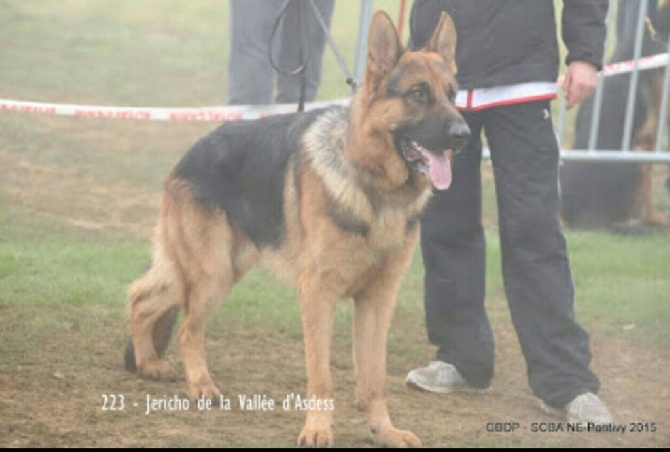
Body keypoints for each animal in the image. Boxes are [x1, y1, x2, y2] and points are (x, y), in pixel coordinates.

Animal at [123, 11, 470, 448]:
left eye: (453, 94)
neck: (374, 189)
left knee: (140, 297)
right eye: (419, 94)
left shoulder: (377, 300)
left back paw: (147, 363)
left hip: (220, 269)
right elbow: (321, 376)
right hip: (211, 274)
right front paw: (318, 428)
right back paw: (200, 385)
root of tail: (191, 152)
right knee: (186, 329)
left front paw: (383, 429)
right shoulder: (318, 293)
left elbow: (373, 377)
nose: (464, 136)